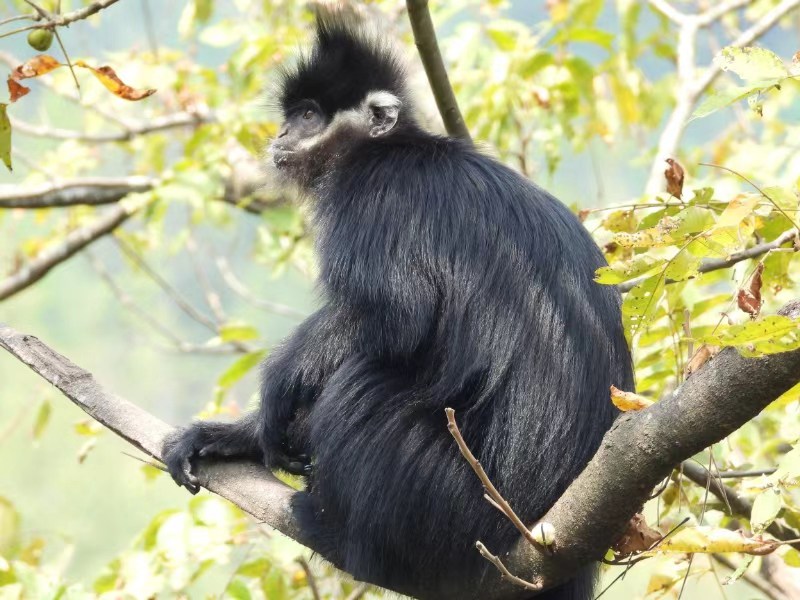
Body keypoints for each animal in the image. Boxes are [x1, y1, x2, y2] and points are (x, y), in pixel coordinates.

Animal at [166, 16, 636, 596]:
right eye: (291, 115)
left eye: (308, 115)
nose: (281, 136)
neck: (385, 148)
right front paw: (233, 437)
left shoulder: (373, 195)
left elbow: (397, 317)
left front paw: (276, 389)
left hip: (450, 504)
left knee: (364, 379)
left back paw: (342, 535)